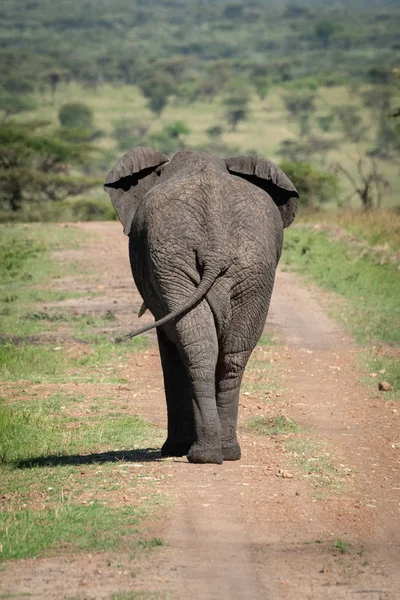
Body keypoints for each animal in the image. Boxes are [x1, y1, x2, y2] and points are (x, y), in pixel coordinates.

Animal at [104, 146, 298, 464]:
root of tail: (215, 245)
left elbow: (170, 345)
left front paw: (172, 450)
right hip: (244, 265)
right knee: (229, 352)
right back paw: (220, 453)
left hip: (182, 260)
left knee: (200, 346)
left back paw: (200, 453)